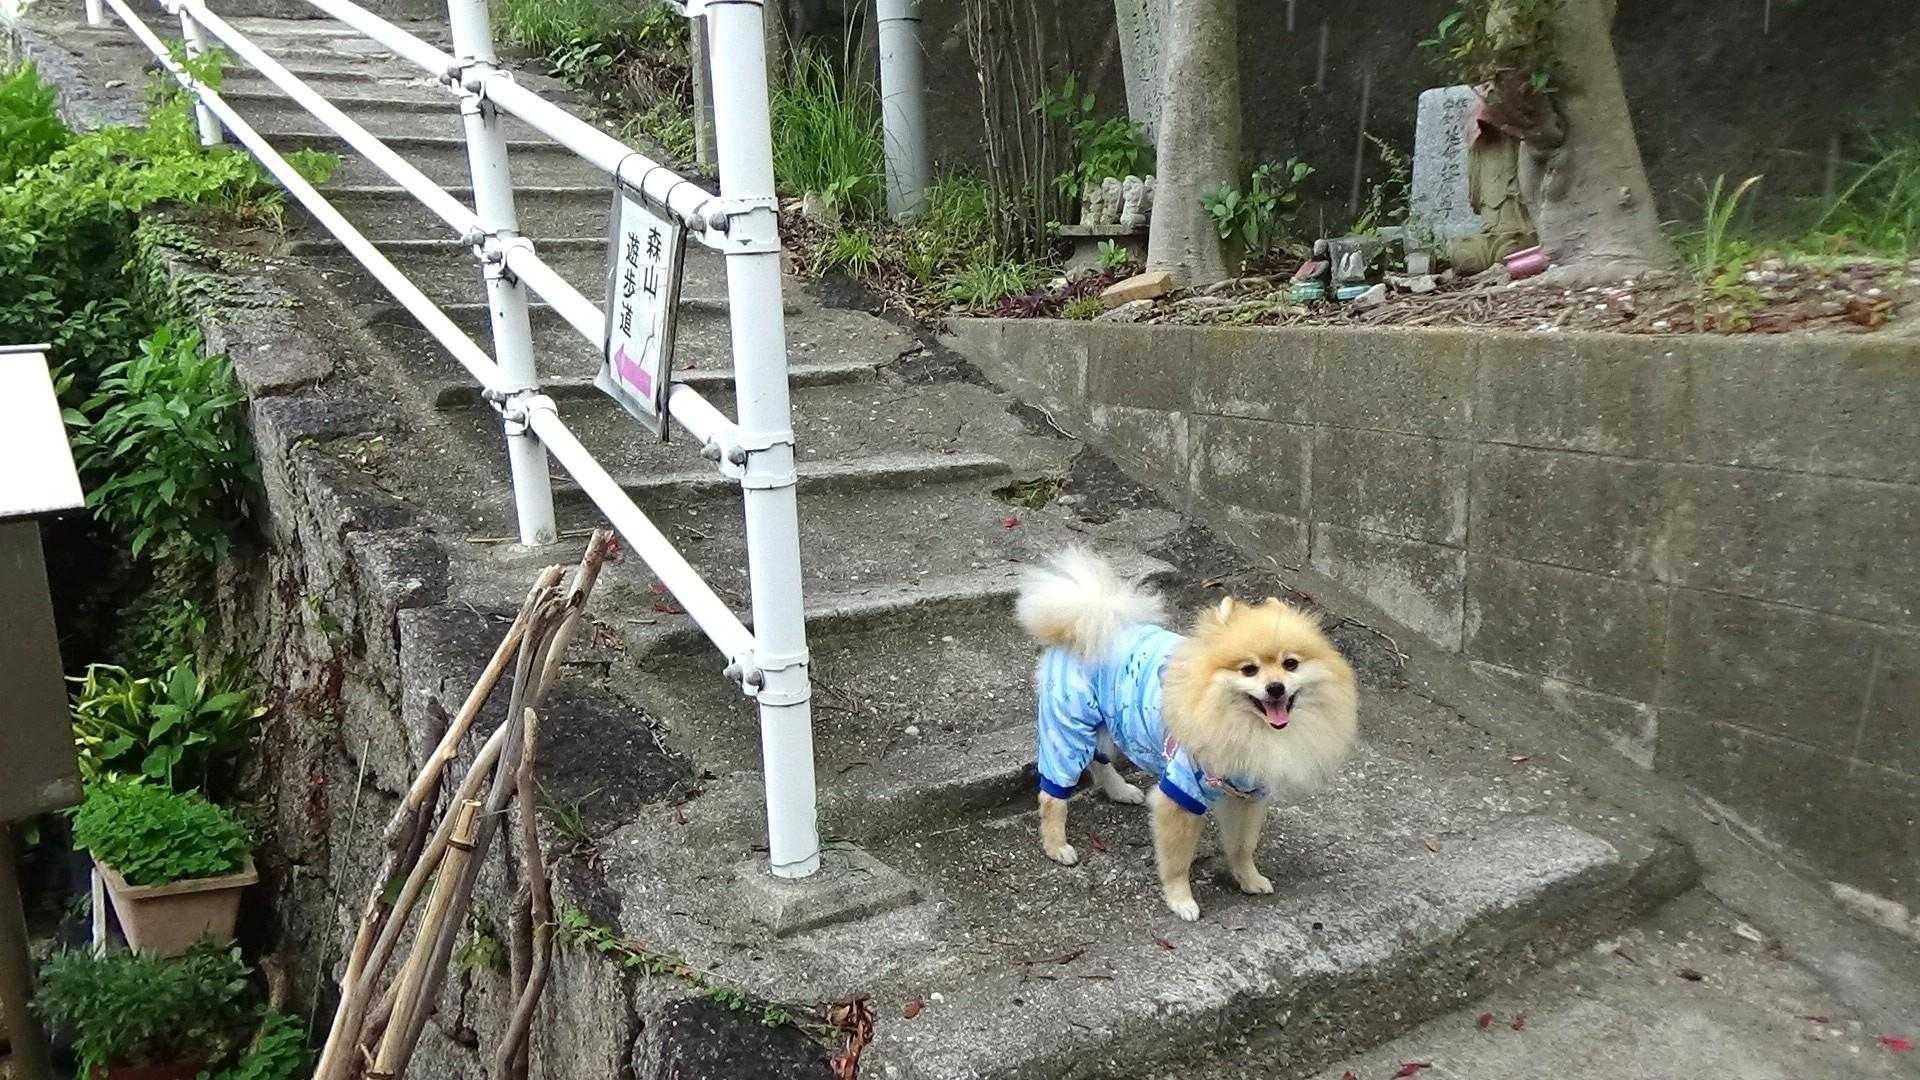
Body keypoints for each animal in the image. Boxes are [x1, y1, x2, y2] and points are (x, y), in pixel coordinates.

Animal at [1016, 549, 1358, 921]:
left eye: (1290, 664)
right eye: (1249, 669)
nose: (1275, 687)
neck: (1243, 725)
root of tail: (1084, 621)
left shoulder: (1248, 793)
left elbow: (1242, 845)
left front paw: (1248, 878)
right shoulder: (1181, 793)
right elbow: (1177, 859)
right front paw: (1180, 900)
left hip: (1106, 721)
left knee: (1099, 759)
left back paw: (1119, 790)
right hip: (1069, 725)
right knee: (1052, 795)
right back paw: (1057, 845)